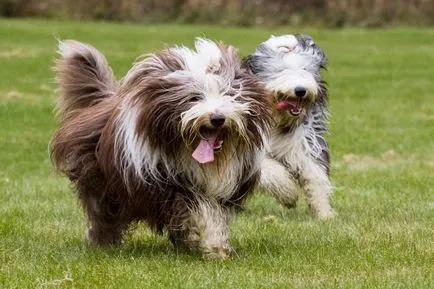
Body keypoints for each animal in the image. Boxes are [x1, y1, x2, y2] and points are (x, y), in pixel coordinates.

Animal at [49, 38, 270, 256]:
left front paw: (213, 244)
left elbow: (213, 211)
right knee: (104, 212)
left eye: (229, 95)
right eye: (194, 97)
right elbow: (197, 208)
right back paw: (104, 241)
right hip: (101, 179)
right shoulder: (165, 184)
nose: (217, 118)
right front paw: (213, 244)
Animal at [244, 34, 336, 218]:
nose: (300, 90)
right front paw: (289, 194)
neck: (278, 120)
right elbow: (271, 170)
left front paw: (324, 212)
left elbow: (315, 173)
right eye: (281, 71)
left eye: (305, 69)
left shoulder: (305, 141)